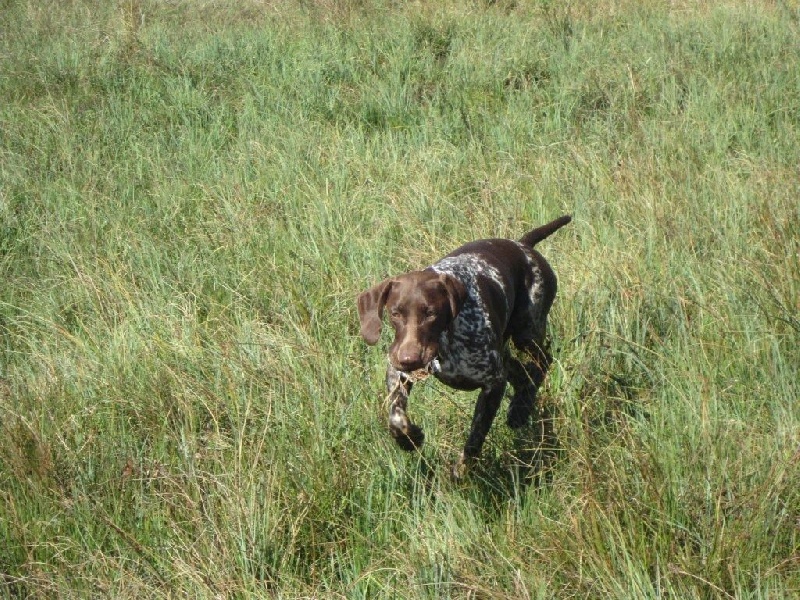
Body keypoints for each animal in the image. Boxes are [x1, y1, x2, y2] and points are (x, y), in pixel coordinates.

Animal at [356, 213, 568, 476]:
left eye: (431, 313)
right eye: (395, 313)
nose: (409, 359)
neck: (445, 345)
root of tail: (523, 245)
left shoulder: (493, 382)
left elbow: (476, 434)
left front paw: (463, 468)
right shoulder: (397, 371)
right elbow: (396, 417)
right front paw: (410, 438)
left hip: (527, 331)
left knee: (542, 362)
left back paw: (520, 410)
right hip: (507, 352)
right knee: (522, 374)